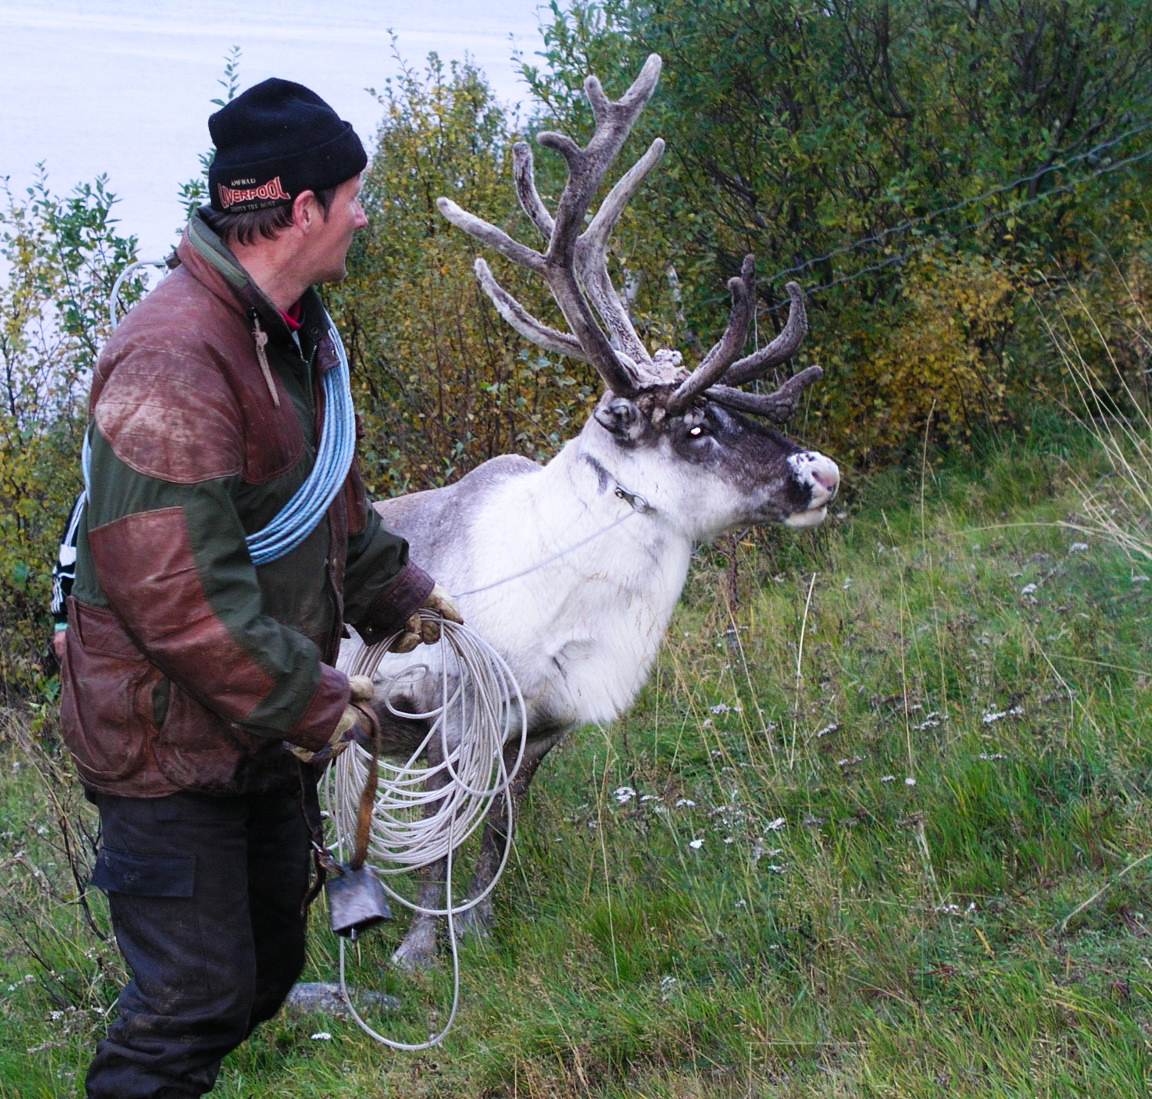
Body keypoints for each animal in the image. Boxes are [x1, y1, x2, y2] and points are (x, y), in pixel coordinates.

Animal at [348, 54, 840, 971]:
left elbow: (498, 833)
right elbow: (438, 845)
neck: (568, 592)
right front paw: (422, 952)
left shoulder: (537, 730)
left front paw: (481, 927)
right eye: (692, 427)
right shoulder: (448, 720)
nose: (819, 471)